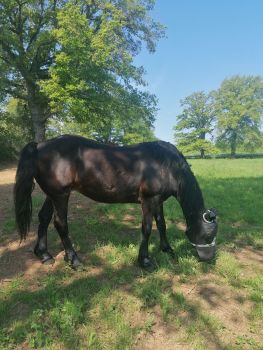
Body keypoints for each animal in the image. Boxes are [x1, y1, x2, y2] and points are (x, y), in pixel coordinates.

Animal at [13, 135, 218, 270]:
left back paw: (44, 255)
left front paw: (167, 249)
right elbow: (147, 229)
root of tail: (40, 146)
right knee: (60, 224)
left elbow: (162, 224)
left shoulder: (158, 201)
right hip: (60, 195)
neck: (165, 164)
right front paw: (145, 261)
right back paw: (74, 260)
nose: (209, 259)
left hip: (53, 195)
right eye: (207, 236)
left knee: (44, 218)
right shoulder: (148, 201)